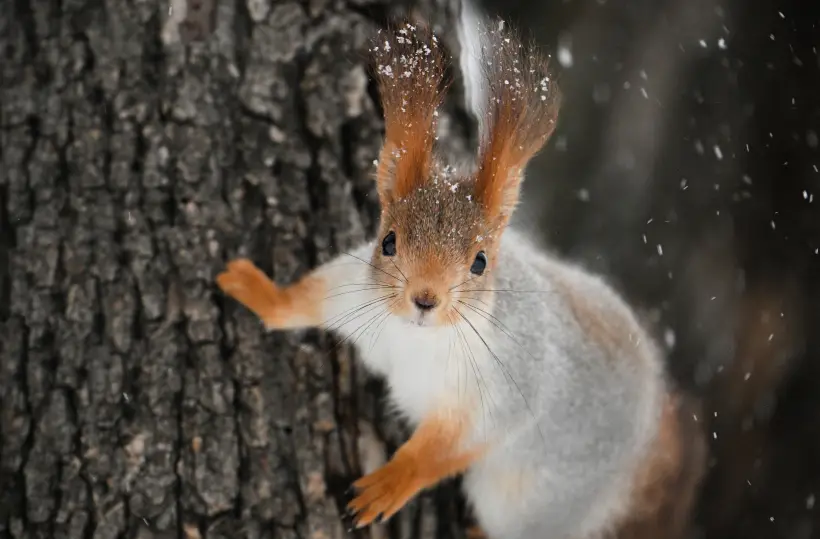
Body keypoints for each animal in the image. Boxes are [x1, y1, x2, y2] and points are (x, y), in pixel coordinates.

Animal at [216, 2, 704, 536]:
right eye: (388, 242)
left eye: (480, 262)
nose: (425, 298)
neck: (414, 339)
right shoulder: (352, 294)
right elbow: (303, 300)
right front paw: (253, 288)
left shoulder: (498, 396)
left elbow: (443, 451)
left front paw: (391, 483)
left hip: (529, 504)